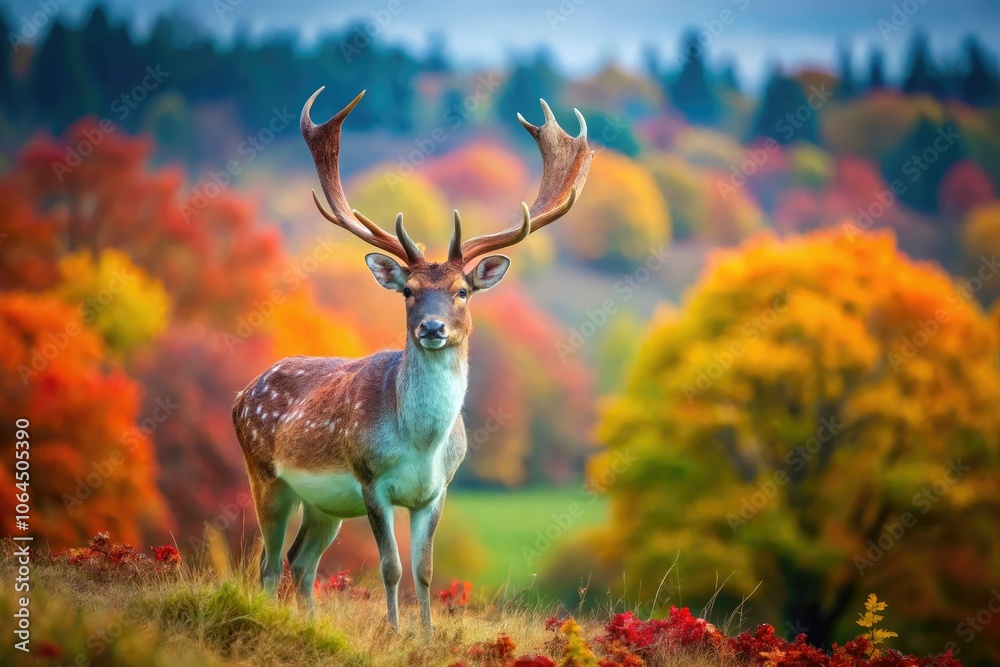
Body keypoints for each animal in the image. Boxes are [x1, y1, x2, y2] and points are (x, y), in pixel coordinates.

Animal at [232, 86, 592, 635]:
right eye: (409, 291)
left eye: (463, 290)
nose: (432, 328)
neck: (421, 445)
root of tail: (240, 396)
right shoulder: (370, 481)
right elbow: (390, 566)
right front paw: (395, 630)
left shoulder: (437, 490)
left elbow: (424, 569)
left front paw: (426, 633)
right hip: (265, 474)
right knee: (268, 562)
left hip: (323, 504)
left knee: (301, 560)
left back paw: (311, 622)